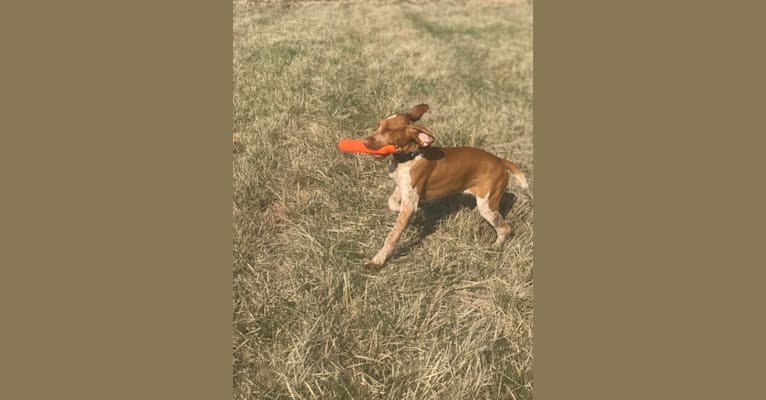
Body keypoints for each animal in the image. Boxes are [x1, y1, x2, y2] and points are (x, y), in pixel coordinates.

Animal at [360, 104, 528, 270]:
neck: (411, 156)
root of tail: (500, 160)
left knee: (505, 229)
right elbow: (392, 201)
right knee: (507, 200)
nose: (364, 143)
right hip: (490, 199)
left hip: (486, 207)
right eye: (378, 126)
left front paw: (377, 260)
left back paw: (494, 248)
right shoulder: (404, 189)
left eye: (388, 130)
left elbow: (392, 236)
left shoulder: (409, 203)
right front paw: (404, 209)